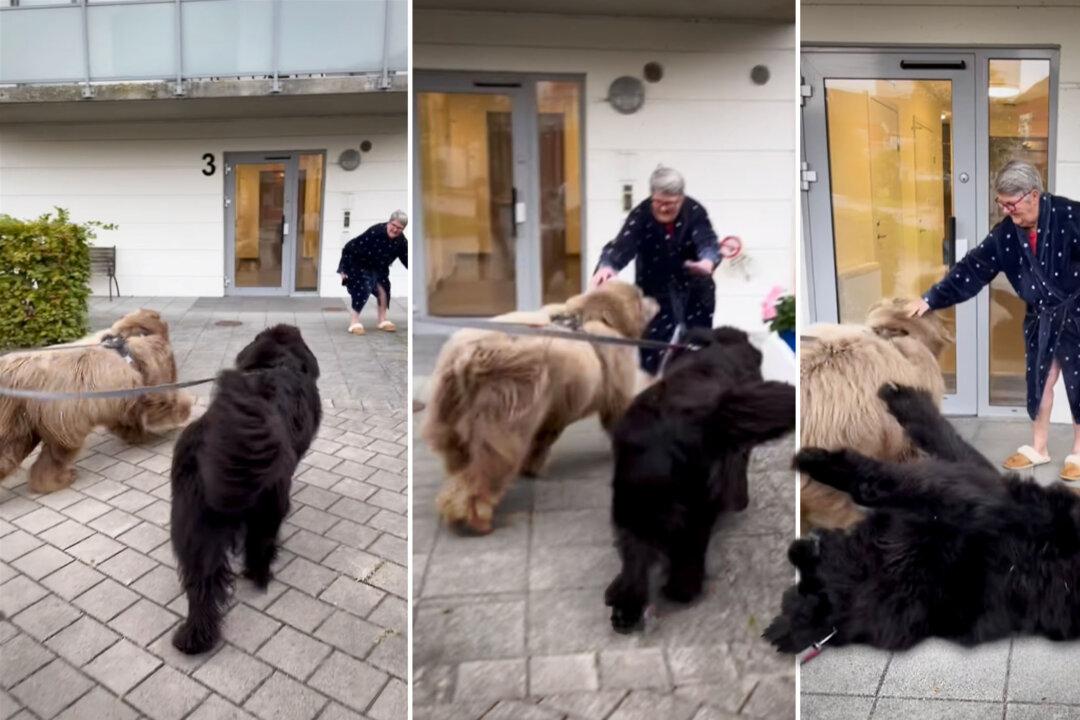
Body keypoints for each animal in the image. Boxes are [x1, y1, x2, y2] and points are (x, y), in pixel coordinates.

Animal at [0, 310, 192, 496]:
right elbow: (160, 406)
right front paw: (180, 412)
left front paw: (135, 434)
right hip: (61, 419)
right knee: (55, 455)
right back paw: (59, 480)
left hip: (19, 422)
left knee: (13, 452)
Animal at [168, 325, 319, 651]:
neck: (276, 363)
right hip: (270, 504)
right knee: (260, 543)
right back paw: (261, 575)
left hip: (194, 519)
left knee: (201, 580)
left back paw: (195, 637)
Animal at [421, 280, 656, 535]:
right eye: (640, 296)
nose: (655, 299)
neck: (590, 314)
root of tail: (470, 357)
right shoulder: (616, 381)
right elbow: (618, 410)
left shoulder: (555, 408)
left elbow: (544, 437)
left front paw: (531, 466)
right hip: (504, 412)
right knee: (484, 471)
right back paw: (477, 518)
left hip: (450, 408)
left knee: (459, 459)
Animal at [609, 325, 794, 630]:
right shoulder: (737, 453)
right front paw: (740, 502)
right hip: (696, 505)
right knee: (688, 552)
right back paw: (681, 590)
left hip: (633, 501)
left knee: (635, 553)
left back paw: (624, 606)